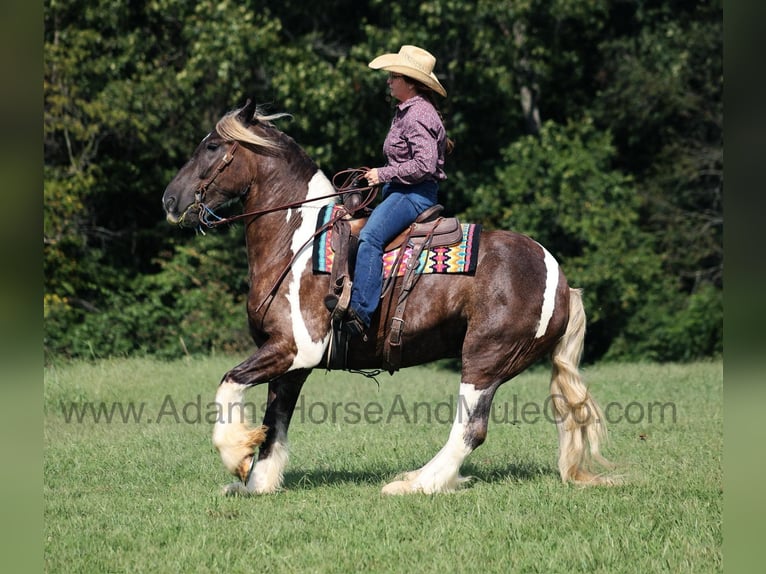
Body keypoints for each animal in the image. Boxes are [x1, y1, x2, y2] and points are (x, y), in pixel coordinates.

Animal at [162, 99, 611, 495]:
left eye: (212, 146)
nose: (170, 199)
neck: (297, 242)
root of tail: (560, 280)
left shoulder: (295, 348)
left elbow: (229, 383)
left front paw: (236, 456)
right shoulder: (290, 363)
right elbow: (275, 422)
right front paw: (257, 484)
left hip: (485, 359)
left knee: (470, 429)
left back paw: (416, 484)